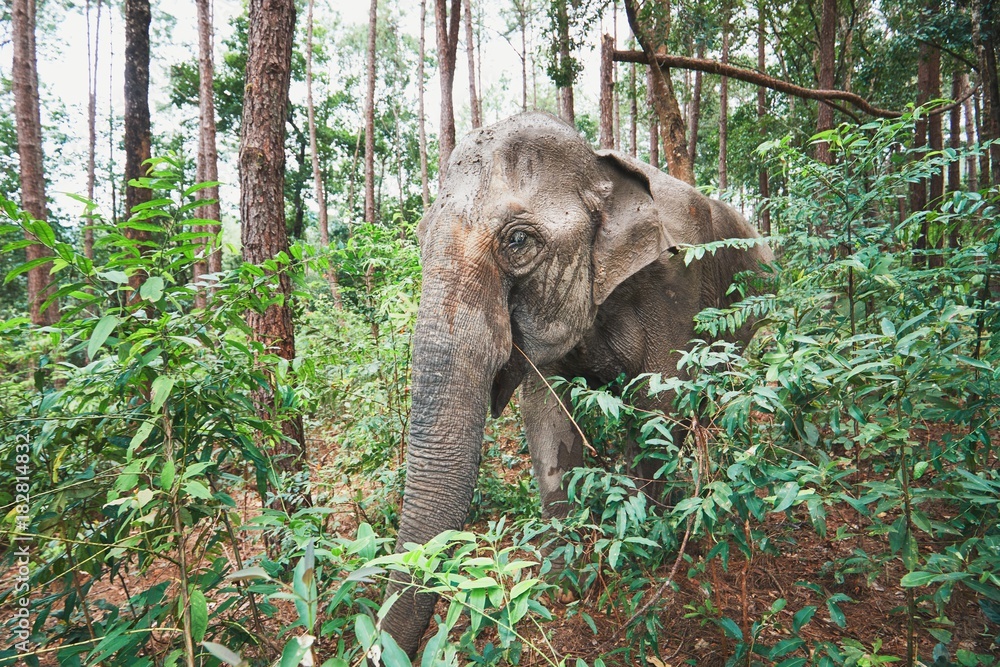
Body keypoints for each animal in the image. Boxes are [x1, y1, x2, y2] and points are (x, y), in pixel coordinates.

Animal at [378, 111, 774, 657]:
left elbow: (659, 406)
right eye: (419, 237)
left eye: (517, 241)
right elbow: (546, 412)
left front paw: (648, 554)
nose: (378, 649)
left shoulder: (675, 284)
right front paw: (559, 578)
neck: (600, 170)